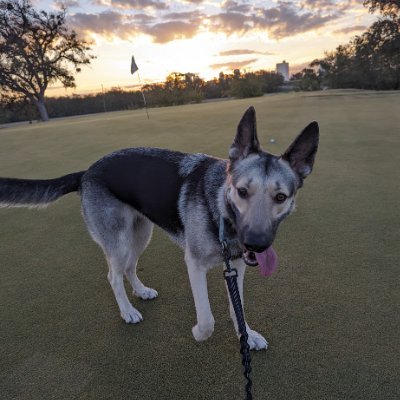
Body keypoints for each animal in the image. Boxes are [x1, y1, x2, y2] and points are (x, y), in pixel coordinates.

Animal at [0, 106, 318, 350]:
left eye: (281, 197)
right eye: (242, 191)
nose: (257, 243)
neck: (219, 208)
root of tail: (86, 172)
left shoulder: (237, 267)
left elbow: (235, 307)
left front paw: (247, 335)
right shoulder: (195, 264)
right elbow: (207, 318)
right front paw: (199, 334)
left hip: (141, 234)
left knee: (129, 268)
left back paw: (140, 292)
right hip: (118, 242)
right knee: (113, 276)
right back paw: (128, 311)